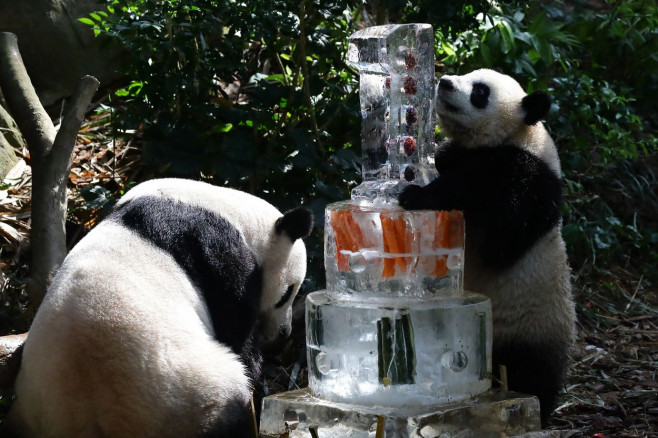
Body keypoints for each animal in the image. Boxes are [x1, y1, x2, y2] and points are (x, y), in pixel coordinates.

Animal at [394, 69, 576, 428]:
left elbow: (496, 222)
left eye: (480, 92)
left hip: (532, 327)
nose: (445, 82)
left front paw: (417, 196)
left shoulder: (526, 178)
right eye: (467, 75)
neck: (520, 135)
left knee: (531, 373)